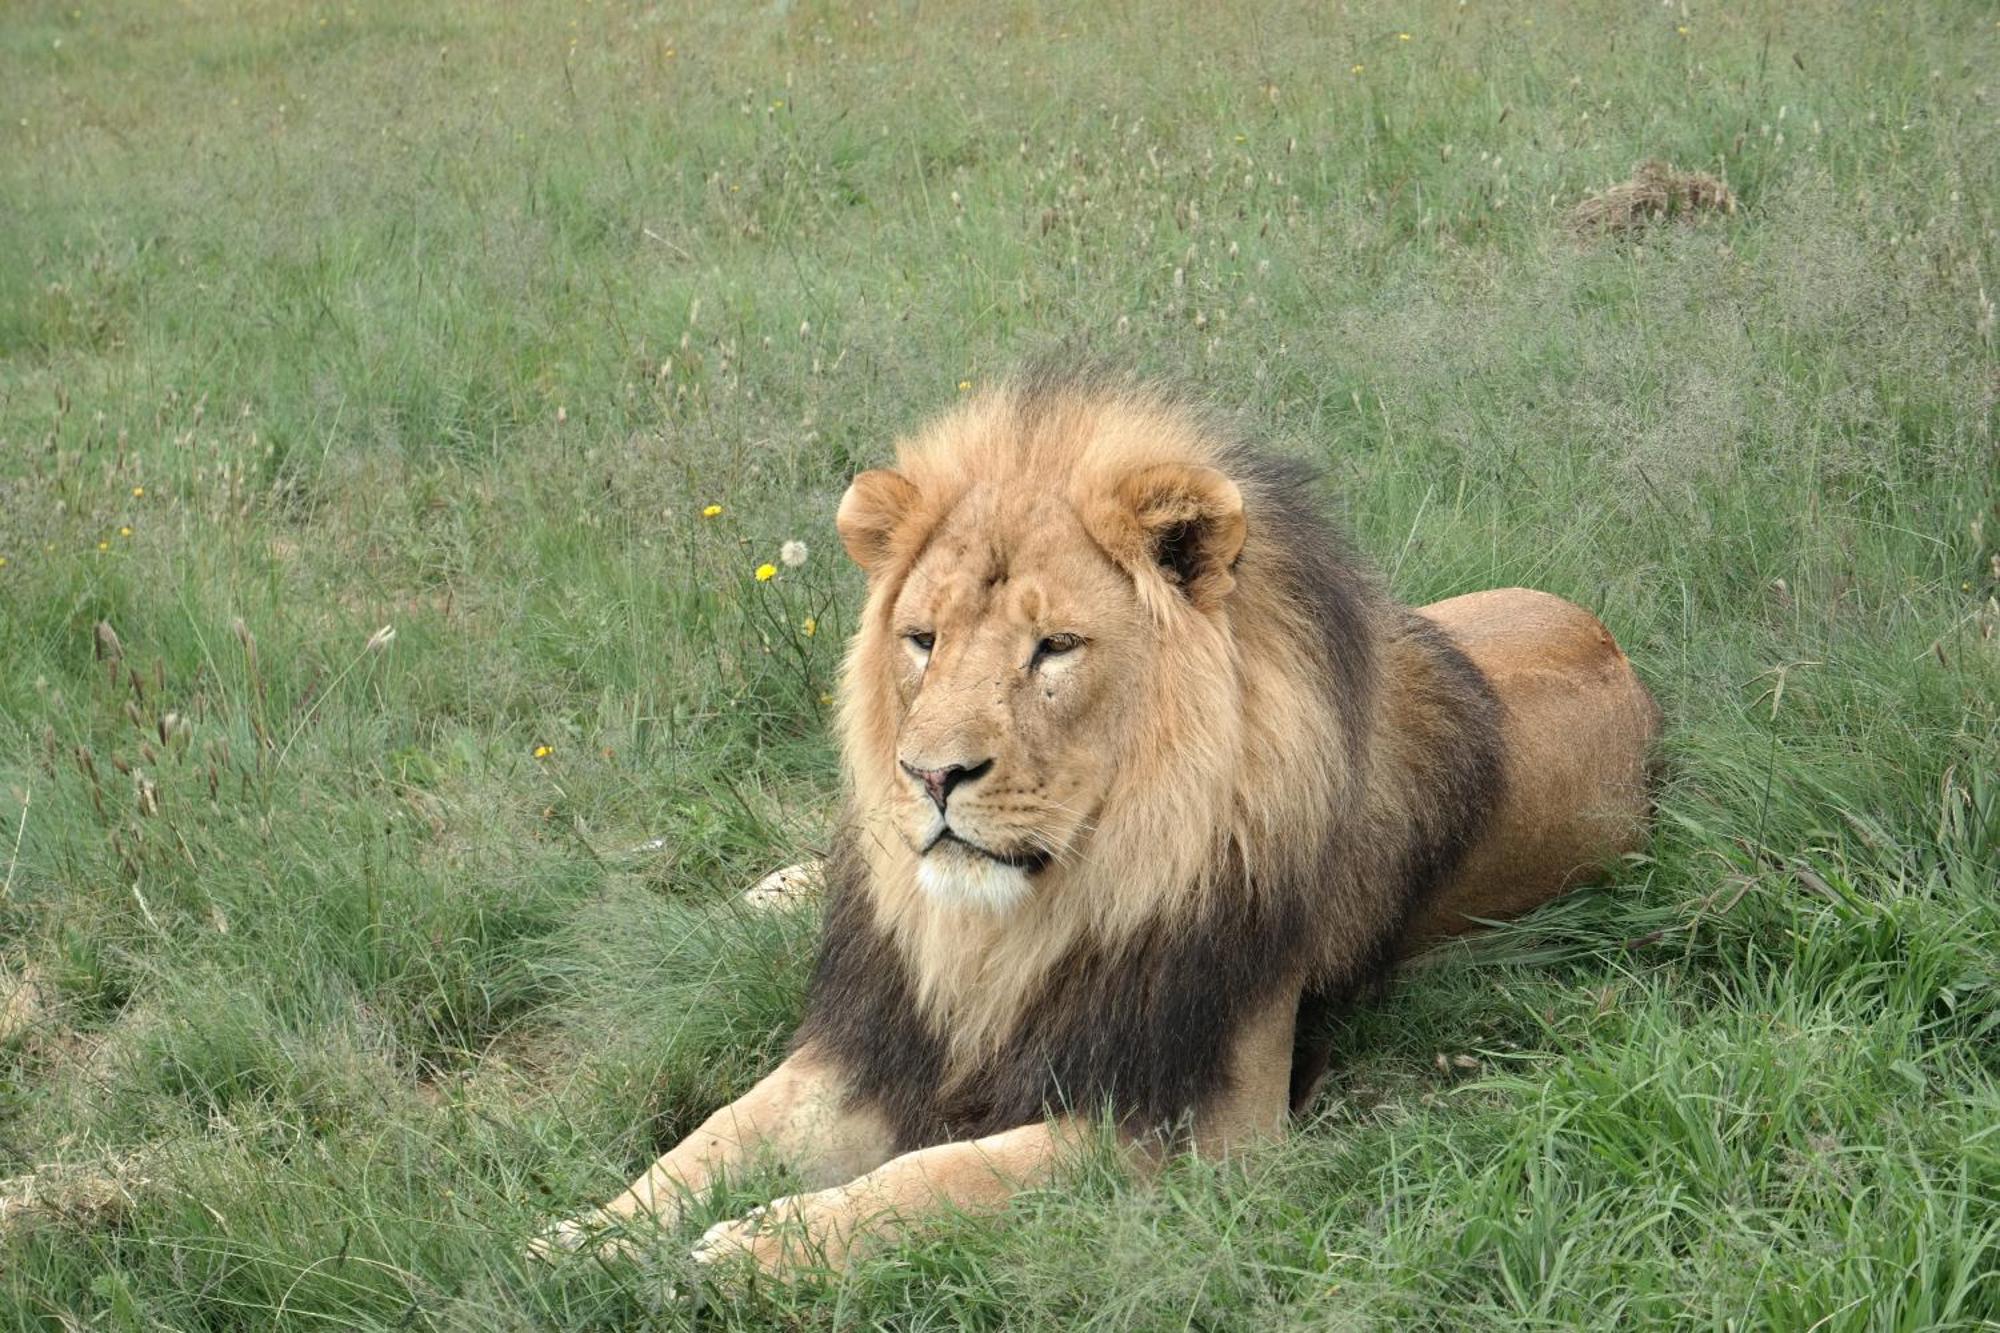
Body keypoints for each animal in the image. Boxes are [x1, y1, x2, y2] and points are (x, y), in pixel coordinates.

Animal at [532, 368, 1656, 1272]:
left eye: (1055, 648)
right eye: (923, 640)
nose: (929, 775)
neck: (1012, 925)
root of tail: (1609, 642)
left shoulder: (1203, 1118)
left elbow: (947, 1174)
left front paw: (757, 1245)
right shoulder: (877, 1037)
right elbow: (713, 1137)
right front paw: (577, 1239)